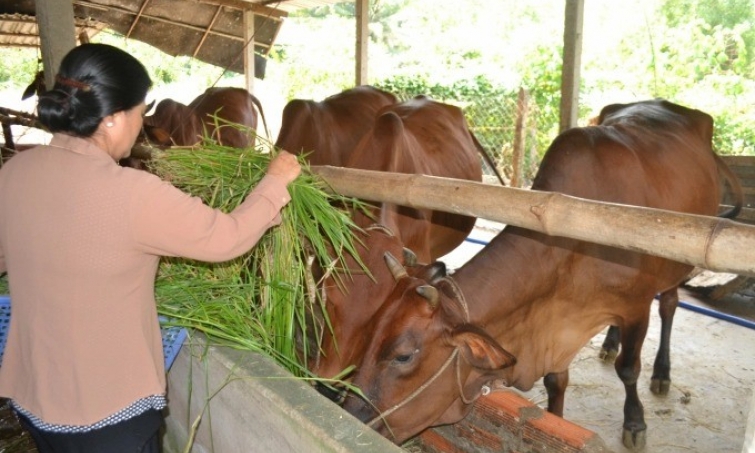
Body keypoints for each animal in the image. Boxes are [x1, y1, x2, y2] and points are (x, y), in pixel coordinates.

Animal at [342, 100, 744, 448]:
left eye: (403, 356)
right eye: (369, 334)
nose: (350, 414)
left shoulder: (635, 307)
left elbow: (629, 369)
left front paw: (635, 422)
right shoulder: (558, 327)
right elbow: (555, 381)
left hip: (676, 265)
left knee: (670, 305)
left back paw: (661, 373)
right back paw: (610, 343)